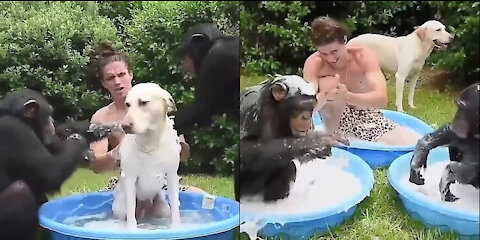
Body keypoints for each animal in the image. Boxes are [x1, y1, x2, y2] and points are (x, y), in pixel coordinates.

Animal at [0, 89, 116, 240]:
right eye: (48, 113)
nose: (52, 121)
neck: (17, 117)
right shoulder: (15, 131)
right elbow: (50, 173)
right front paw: (78, 141)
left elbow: (60, 139)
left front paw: (101, 128)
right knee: (19, 191)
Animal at [111, 82, 183, 229]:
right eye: (127, 104)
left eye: (143, 102)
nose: (124, 126)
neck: (150, 141)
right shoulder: (131, 178)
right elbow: (131, 212)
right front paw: (132, 229)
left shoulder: (172, 175)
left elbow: (175, 208)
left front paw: (176, 227)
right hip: (121, 208)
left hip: (163, 208)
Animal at [240, 74, 348, 202]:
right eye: (301, 106)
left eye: (311, 107)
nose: (306, 116)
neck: (277, 108)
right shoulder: (250, 107)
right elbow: (244, 148)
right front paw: (316, 141)